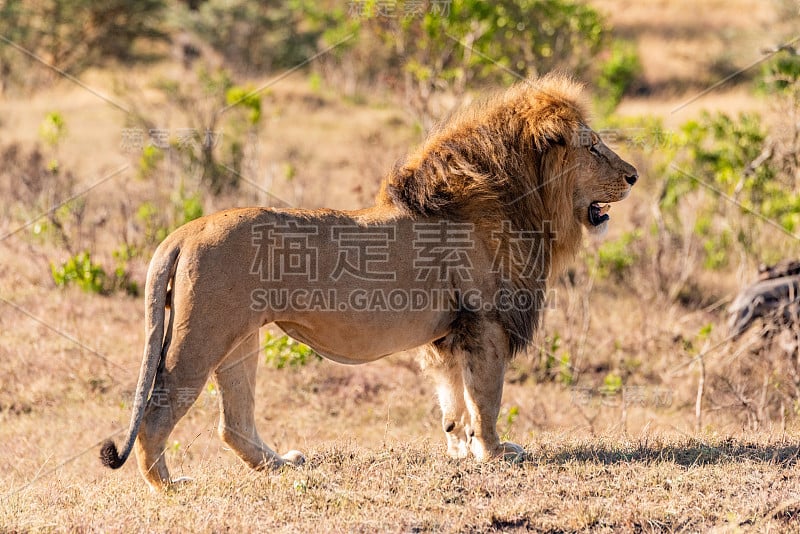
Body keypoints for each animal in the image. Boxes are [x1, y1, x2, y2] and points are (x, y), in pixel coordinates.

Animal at [100, 73, 636, 492]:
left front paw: (460, 450)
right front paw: (496, 452)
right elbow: (485, 397)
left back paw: (281, 465)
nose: (633, 175)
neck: (525, 203)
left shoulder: (451, 332)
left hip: (240, 339)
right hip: (200, 336)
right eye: (592, 146)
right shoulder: (484, 322)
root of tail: (183, 232)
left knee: (233, 424)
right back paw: (167, 484)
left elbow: (453, 397)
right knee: (159, 407)